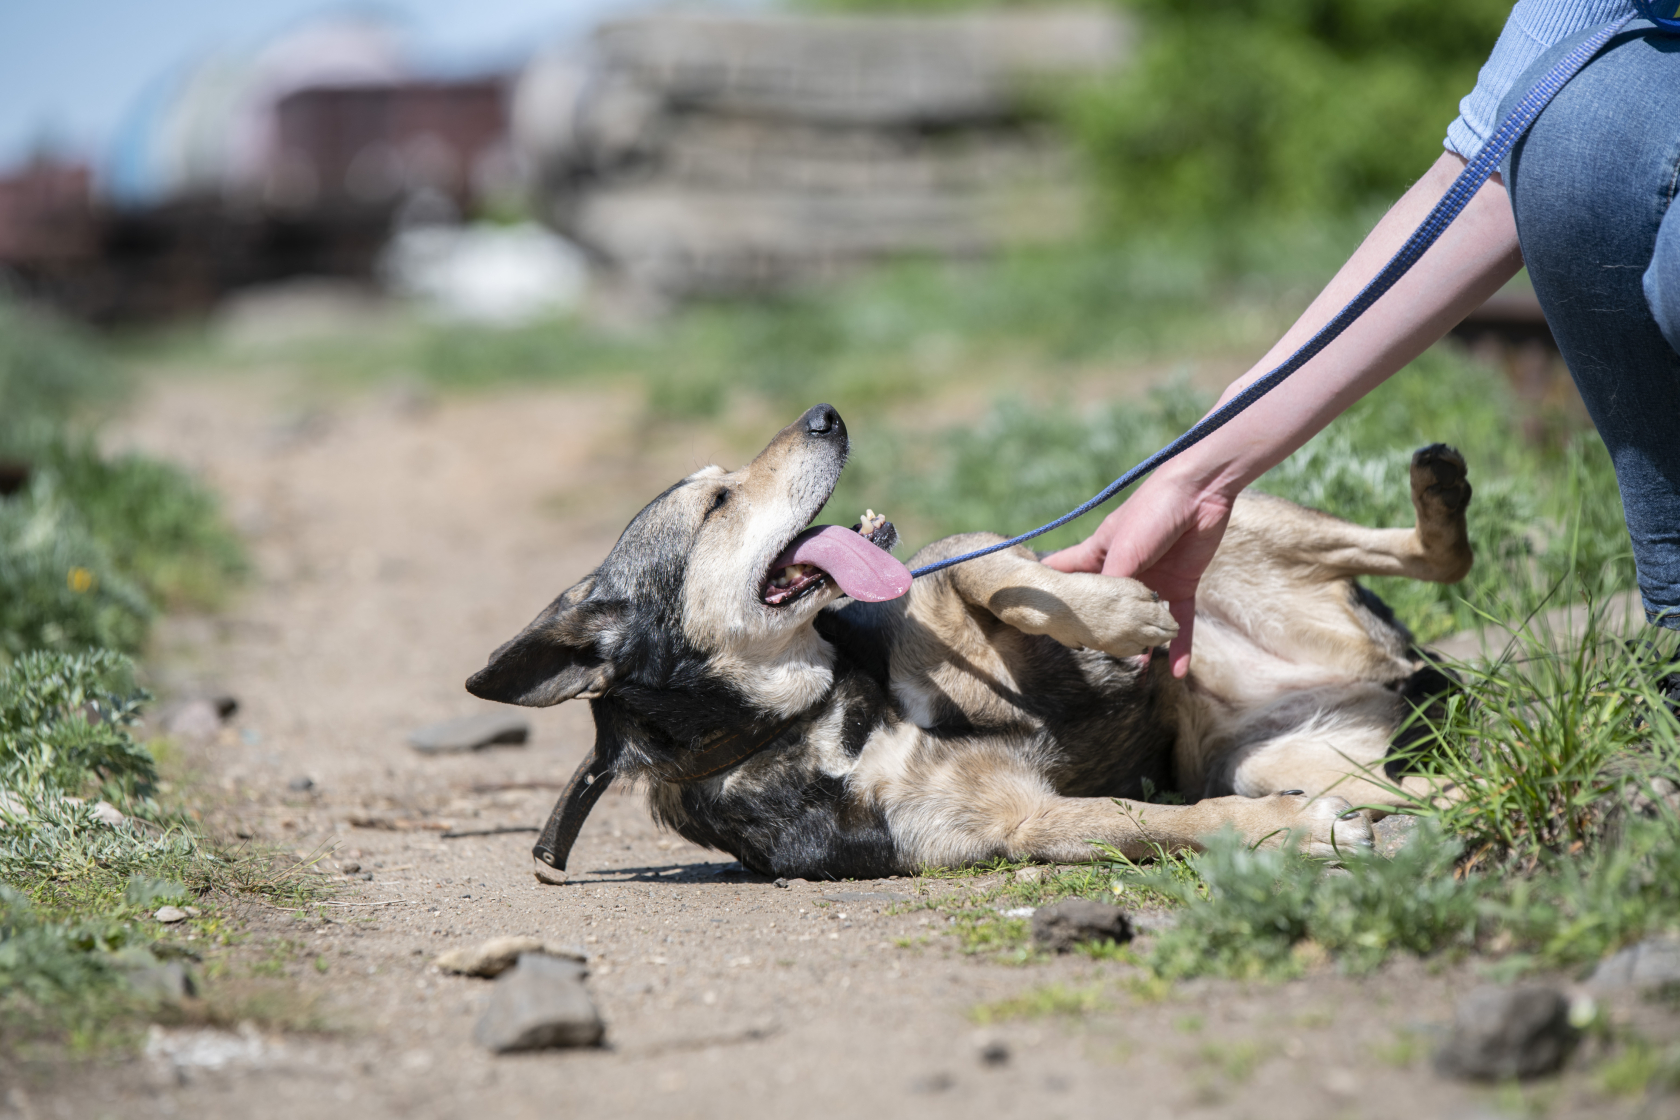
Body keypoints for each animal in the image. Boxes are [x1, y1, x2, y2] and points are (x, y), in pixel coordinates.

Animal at [463, 401, 1471, 873]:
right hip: (1277, 754)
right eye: (715, 501)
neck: (819, 716)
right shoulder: (1024, 826)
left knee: (1431, 557)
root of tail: (1392, 661)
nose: (826, 414)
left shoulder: (950, 563)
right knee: (1413, 777)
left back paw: (1439, 492)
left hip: (1227, 518)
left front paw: (1119, 613)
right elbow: (1165, 823)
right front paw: (1295, 832)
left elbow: (1005, 577)